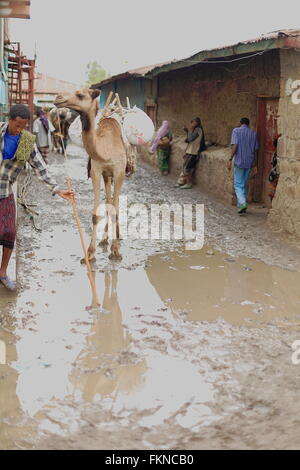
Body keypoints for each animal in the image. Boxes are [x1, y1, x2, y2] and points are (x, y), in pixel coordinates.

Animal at [54, 87, 126, 260]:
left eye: (80, 95)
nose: (58, 97)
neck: (106, 150)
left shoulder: (119, 172)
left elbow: (115, 210)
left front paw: (115, 251)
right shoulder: (97, 171)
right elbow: (95, 215)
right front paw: (90, 253)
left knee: (115, 203)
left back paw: (117, 237)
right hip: (107, 176)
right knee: (109, 200)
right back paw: (105, 239)